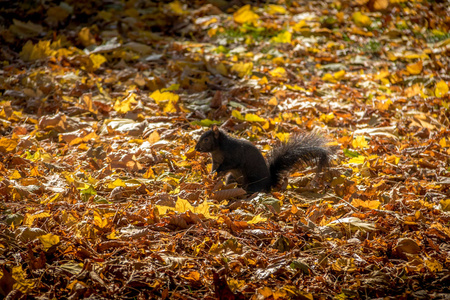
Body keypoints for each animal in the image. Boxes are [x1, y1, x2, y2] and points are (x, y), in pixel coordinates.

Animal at [194, 125, 334, 193]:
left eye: (206, 139)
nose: (196, 148)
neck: (218, 150)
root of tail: (269, 182)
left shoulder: (234, 155)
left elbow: (230, 164)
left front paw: (218, 172)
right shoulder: (216, 160)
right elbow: (214, 168)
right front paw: (211, 175)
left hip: (253, 181)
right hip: (233, 178)